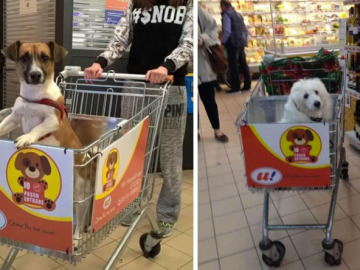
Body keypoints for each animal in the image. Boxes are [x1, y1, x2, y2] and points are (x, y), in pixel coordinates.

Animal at [0, 40, 94, 249]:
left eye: (45, 57)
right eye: (24, 57)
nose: (36, 75)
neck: (34, 97)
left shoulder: (52, 121)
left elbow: (37, 128)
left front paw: (27, 137)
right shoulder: (14, 118)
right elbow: (3, 124)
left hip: (78, 193)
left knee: (81, 217)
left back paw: (76, 238)